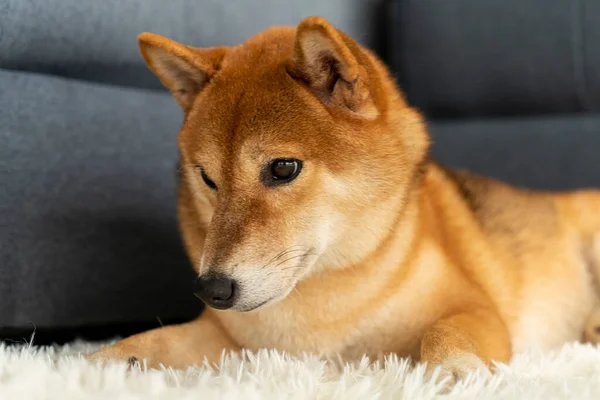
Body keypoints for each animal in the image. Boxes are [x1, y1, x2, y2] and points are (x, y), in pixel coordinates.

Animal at [88, 17, 600, 382]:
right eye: (208, 178)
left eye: (283, 168)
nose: (213, 289)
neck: (322, 299)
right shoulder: (232, 340)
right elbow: (152, 342)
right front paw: (93, 366)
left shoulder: (473, 306)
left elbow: (445, 333)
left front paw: (454, 372)